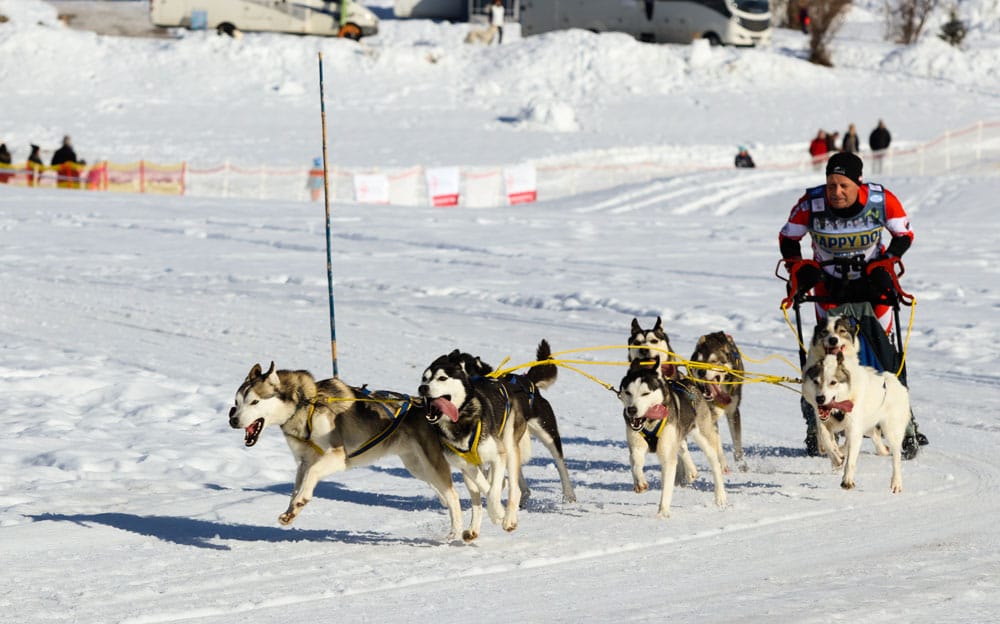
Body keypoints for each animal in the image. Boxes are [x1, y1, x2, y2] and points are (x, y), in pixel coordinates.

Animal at [229, 364, 462, 540]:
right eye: (237, 402)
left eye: (255, 401)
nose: (233, 420)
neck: (306, 404)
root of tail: (426, 407)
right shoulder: (304, 461)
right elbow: (298, 486)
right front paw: (291, 511)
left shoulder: (336, 456)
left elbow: (311, 475)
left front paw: (302, 500)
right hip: (416, 466)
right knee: (442, 491)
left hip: (430, 463)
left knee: (453, 495)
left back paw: (456, 532)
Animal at [612, 356, 724, 516]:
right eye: (628, 392)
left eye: (645, 393)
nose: (631, 410)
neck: (650, 423)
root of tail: (690, 383)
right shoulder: (636, 446)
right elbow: (635, 463)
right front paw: (640, 482)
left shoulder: (667, 456)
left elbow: (666, 486)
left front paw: (662, 513)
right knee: (682, 447)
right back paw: (691, 471)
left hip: (703, 436)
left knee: (714, 462)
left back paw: (720, 496)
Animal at [692, 330, 748, 470]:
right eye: (698, 362)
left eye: (713, 361)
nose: (701, 372)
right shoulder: (709, 414)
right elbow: (716, 444)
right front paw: (722, 464)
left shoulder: (733, 412)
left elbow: (737, 441)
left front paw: (741, 464)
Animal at [800, 352, 912, 492]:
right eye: (816, 381)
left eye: (833, 382)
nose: (820, 398)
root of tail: (894, 380)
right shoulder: (824, 424)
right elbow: (826, 442)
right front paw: (836, 458)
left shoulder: (854, 430)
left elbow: (851, 460)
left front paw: (847, 480)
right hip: (866, 426)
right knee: (873, 435)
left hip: (891, 430)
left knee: (896, 455)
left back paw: (896, 482)